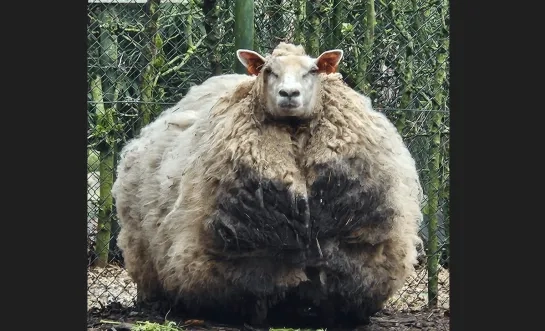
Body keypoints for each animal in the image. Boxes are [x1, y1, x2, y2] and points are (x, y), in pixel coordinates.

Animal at [111, 42, 424, 330]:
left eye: (312, 70)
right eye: (269, 71)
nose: (289, 94)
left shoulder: (347, 253)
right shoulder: (253, 257)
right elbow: (257, 295)